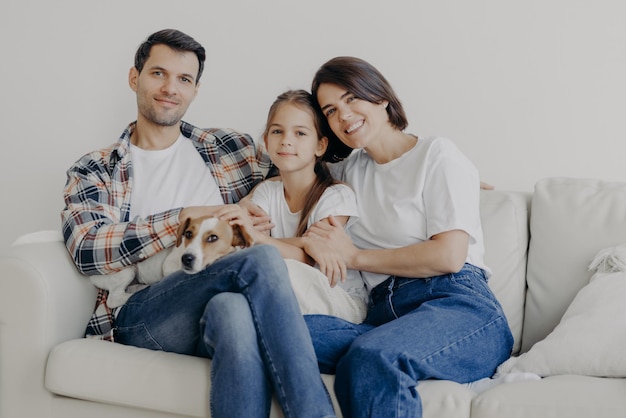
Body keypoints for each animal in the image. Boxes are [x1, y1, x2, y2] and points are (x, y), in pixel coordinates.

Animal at [88, 217, 254, 308]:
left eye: (213, 238)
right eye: (188, 234)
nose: (186, 259)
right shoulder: (168, 266)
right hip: (128, 270)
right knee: (114, 299)